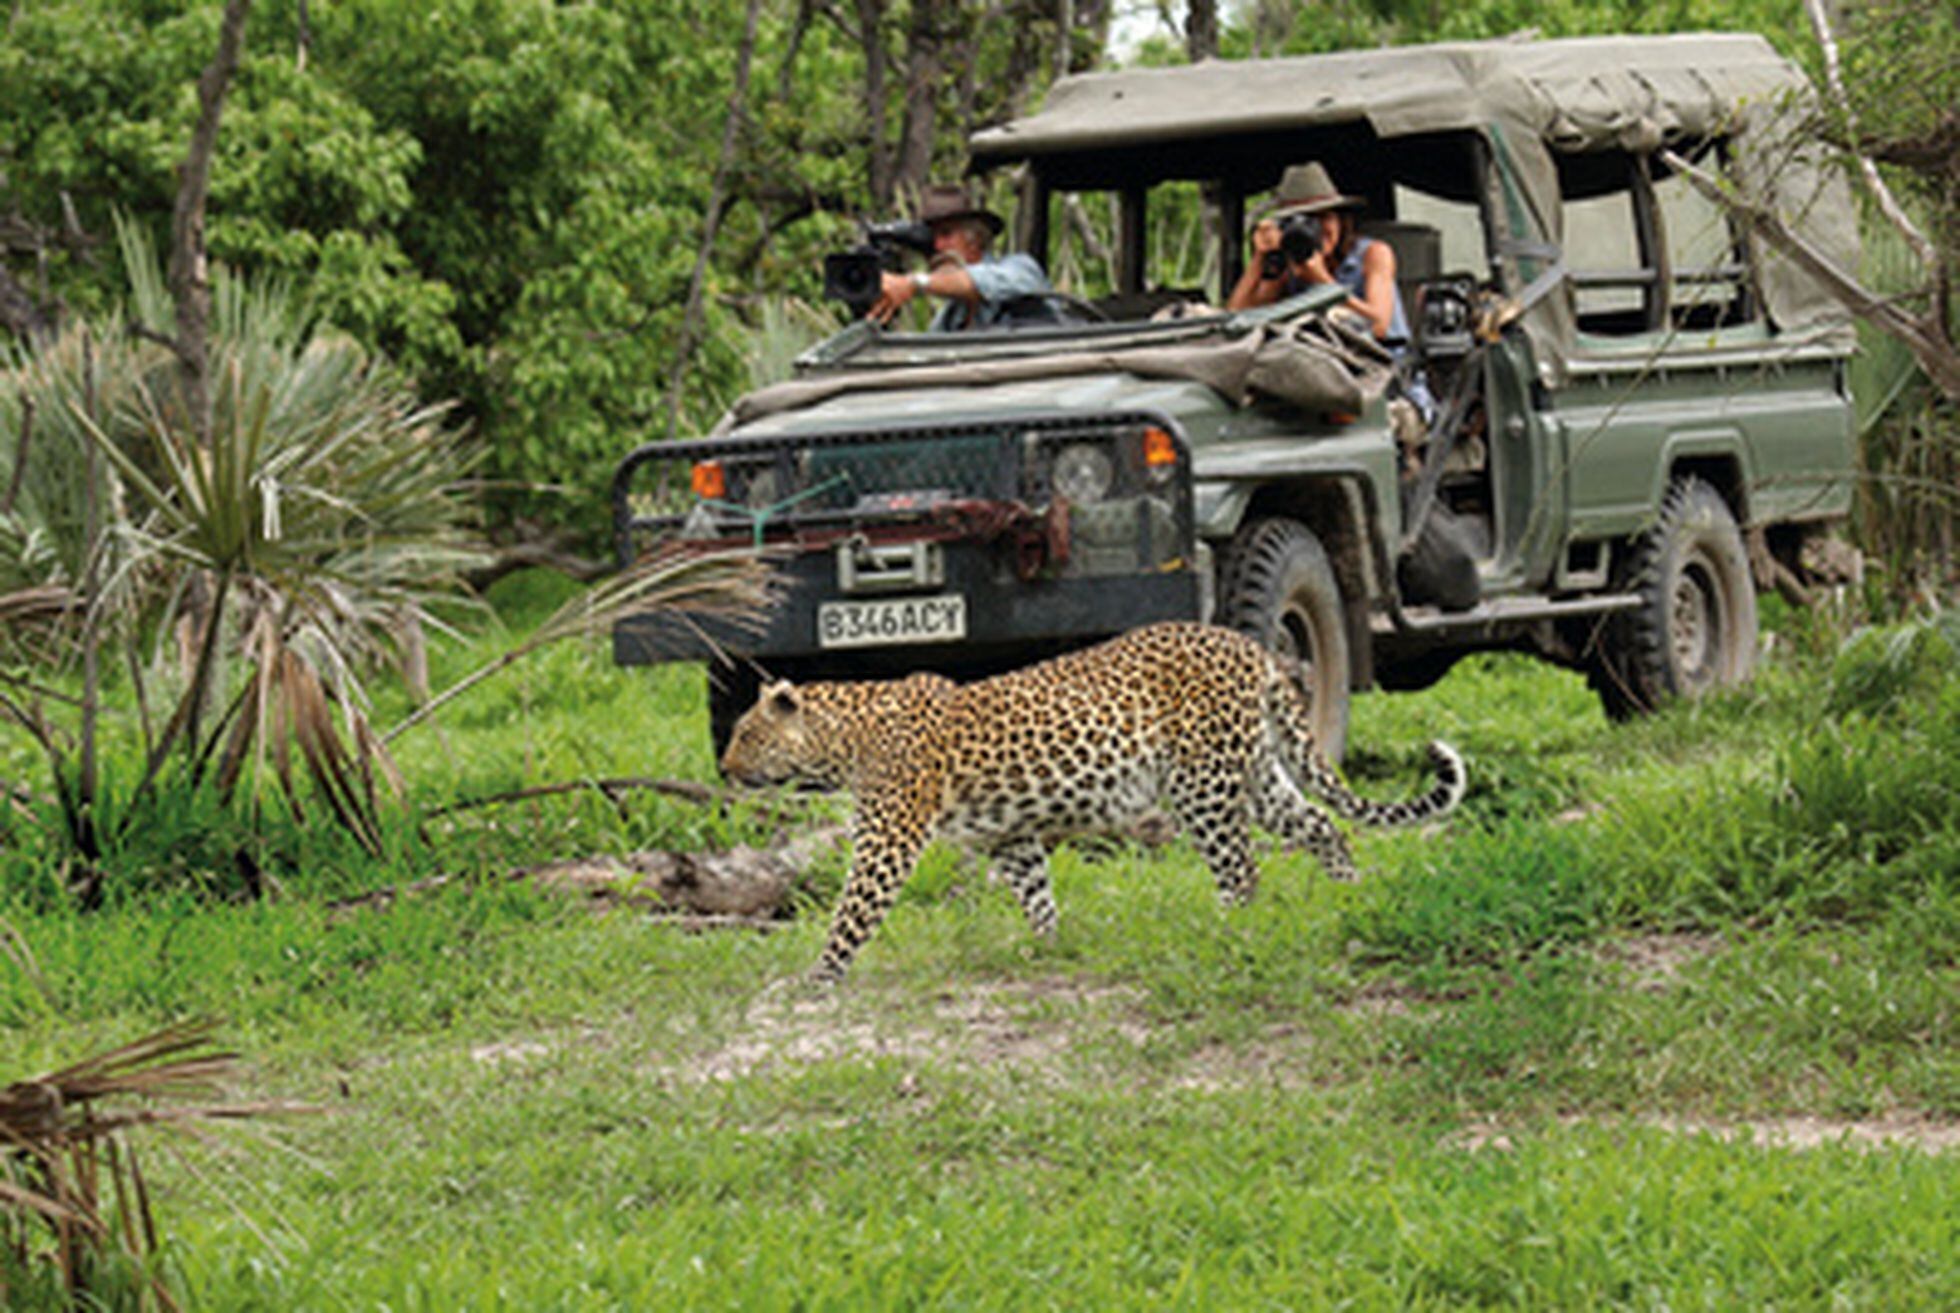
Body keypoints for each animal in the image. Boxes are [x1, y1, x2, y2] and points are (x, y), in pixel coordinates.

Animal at [729, 623, 1466, 983]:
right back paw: (1349, 896)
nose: (726, 768)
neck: (842, 737)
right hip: (1256, 770)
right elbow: (1036, 893)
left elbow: (853, 909)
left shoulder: (888, 839)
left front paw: (817, 975)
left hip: (1200, 782)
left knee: (1242, 868)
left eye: (746, 734)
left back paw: (1224, 928)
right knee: (1320, 825)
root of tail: (1248, 645)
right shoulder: (1010, 836)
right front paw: (1051, 948)